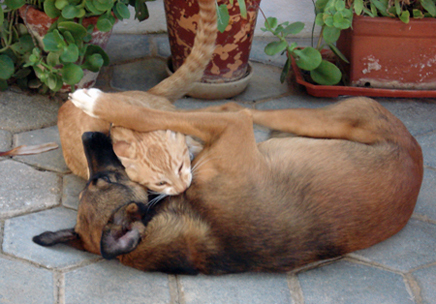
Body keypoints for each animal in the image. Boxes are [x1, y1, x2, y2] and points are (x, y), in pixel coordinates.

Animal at [33, 92, 422, 274]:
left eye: (102, 179)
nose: (88, 136)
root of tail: (414, 152)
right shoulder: (235, 132)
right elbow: (151, 115)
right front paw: (99, 104)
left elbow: (152, 116)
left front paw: (98, 103)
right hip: (318, 119)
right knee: (247, 111)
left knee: (231, 110)